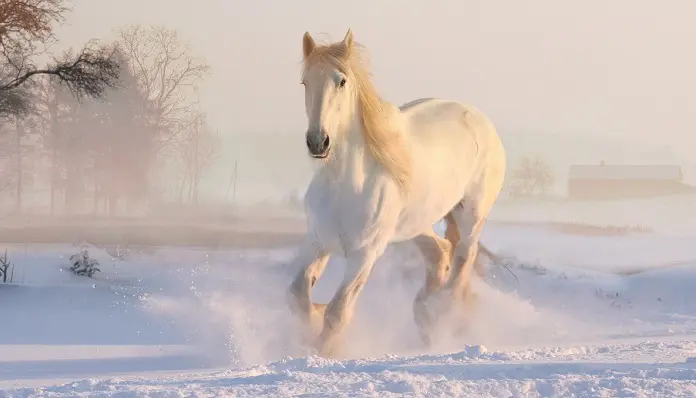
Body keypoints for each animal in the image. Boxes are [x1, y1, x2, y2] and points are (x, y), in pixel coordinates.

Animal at [286, 28, 508, 358]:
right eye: (305, 82)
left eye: (342, 81)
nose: (318, 142)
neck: (345, 186)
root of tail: (481, 119)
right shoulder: (317, 242)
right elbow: (298, 296)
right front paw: (312, 322)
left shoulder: (365, 254)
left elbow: (338, 312)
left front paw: (323, 351)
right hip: (416, 224)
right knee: (440, 253)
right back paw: (425, 314)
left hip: (471, 216)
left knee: (462, 262)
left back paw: (441, 316)